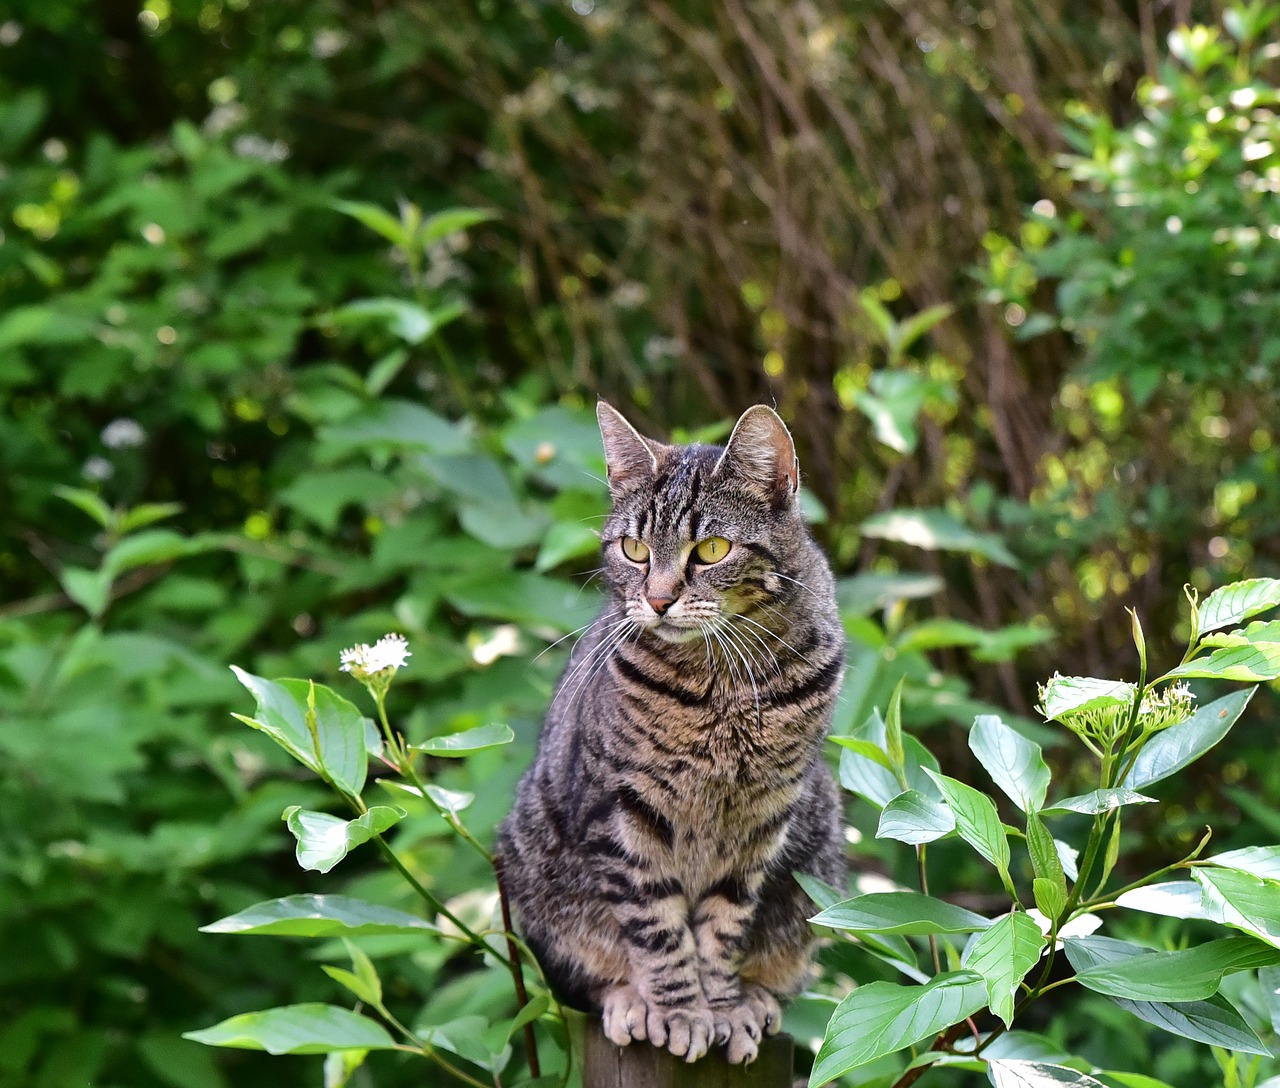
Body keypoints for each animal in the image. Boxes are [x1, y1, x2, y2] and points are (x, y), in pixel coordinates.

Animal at [499, 396, 849, 1059]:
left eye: (711, 550)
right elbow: (657, 928)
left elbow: (724, 926)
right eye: (634, 550)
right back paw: (630, 1001)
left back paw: (756, 998)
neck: (721, 688)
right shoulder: (623, 812)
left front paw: (723, 1007)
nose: (659, 599)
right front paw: (681, 1011)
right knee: (588, 979)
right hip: (529, 870)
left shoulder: (763, 818)